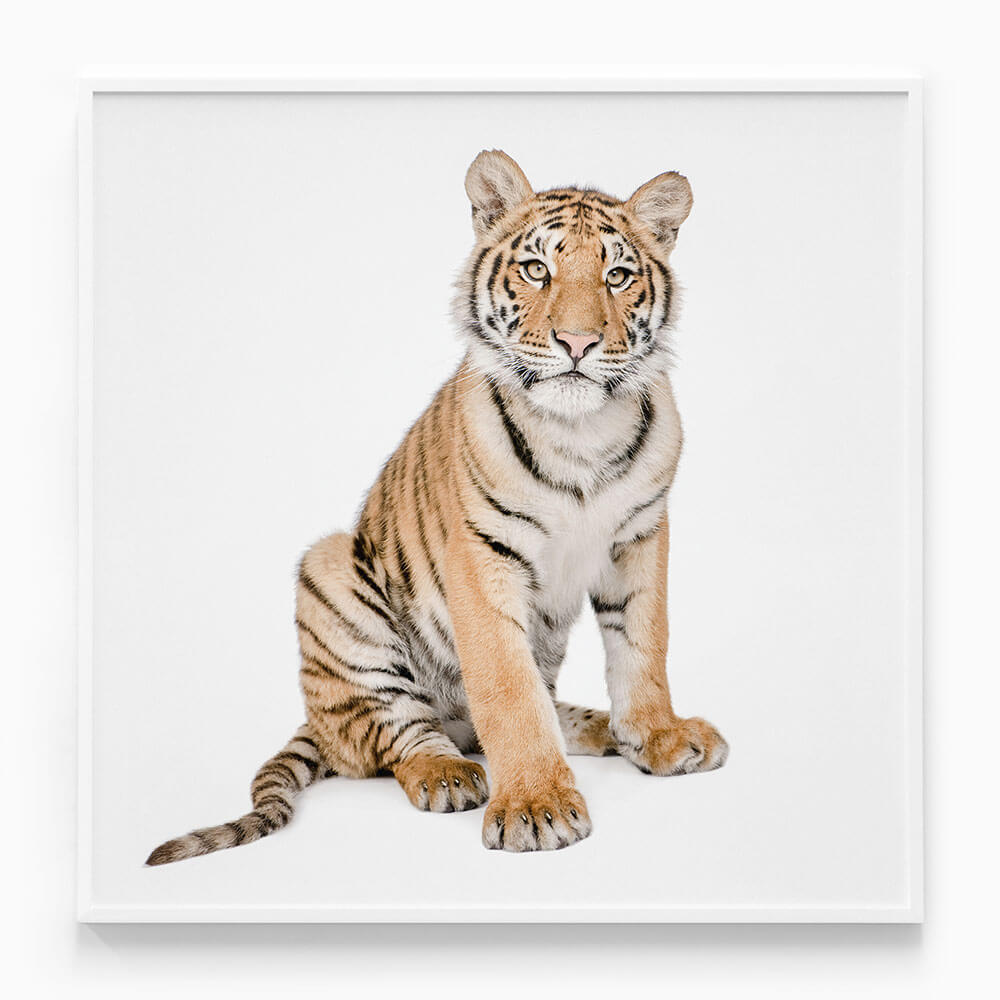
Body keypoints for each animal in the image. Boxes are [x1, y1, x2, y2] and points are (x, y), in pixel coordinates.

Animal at [146, 149, 728, 863]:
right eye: (538, 269)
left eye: (617, 276)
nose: (577, 343)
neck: (580, 432)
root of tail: (314, 720)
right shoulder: (482, 556)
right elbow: (506, 688)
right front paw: (536, 805)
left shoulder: (639, 538)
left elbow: (644, 647)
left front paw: (659, 737)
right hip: (331, 574)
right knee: (394, 736)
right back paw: (448, 772)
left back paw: (594, 727)